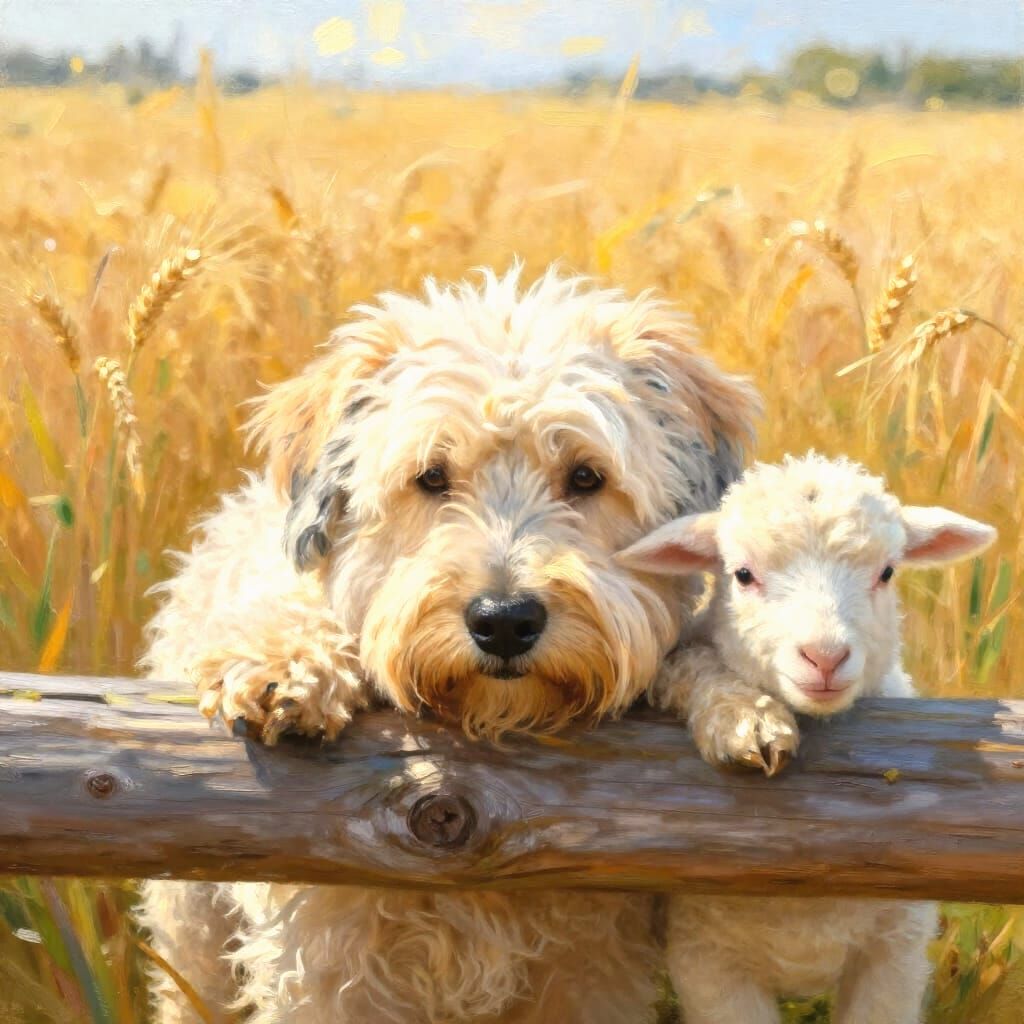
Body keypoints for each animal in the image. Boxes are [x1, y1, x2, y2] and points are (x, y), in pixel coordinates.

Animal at [618, 452, 996, 1024]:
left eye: (887, 572)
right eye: (743, 575)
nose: (825, 657)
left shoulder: (895, 953)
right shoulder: (707, 960)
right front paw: (747, 724)